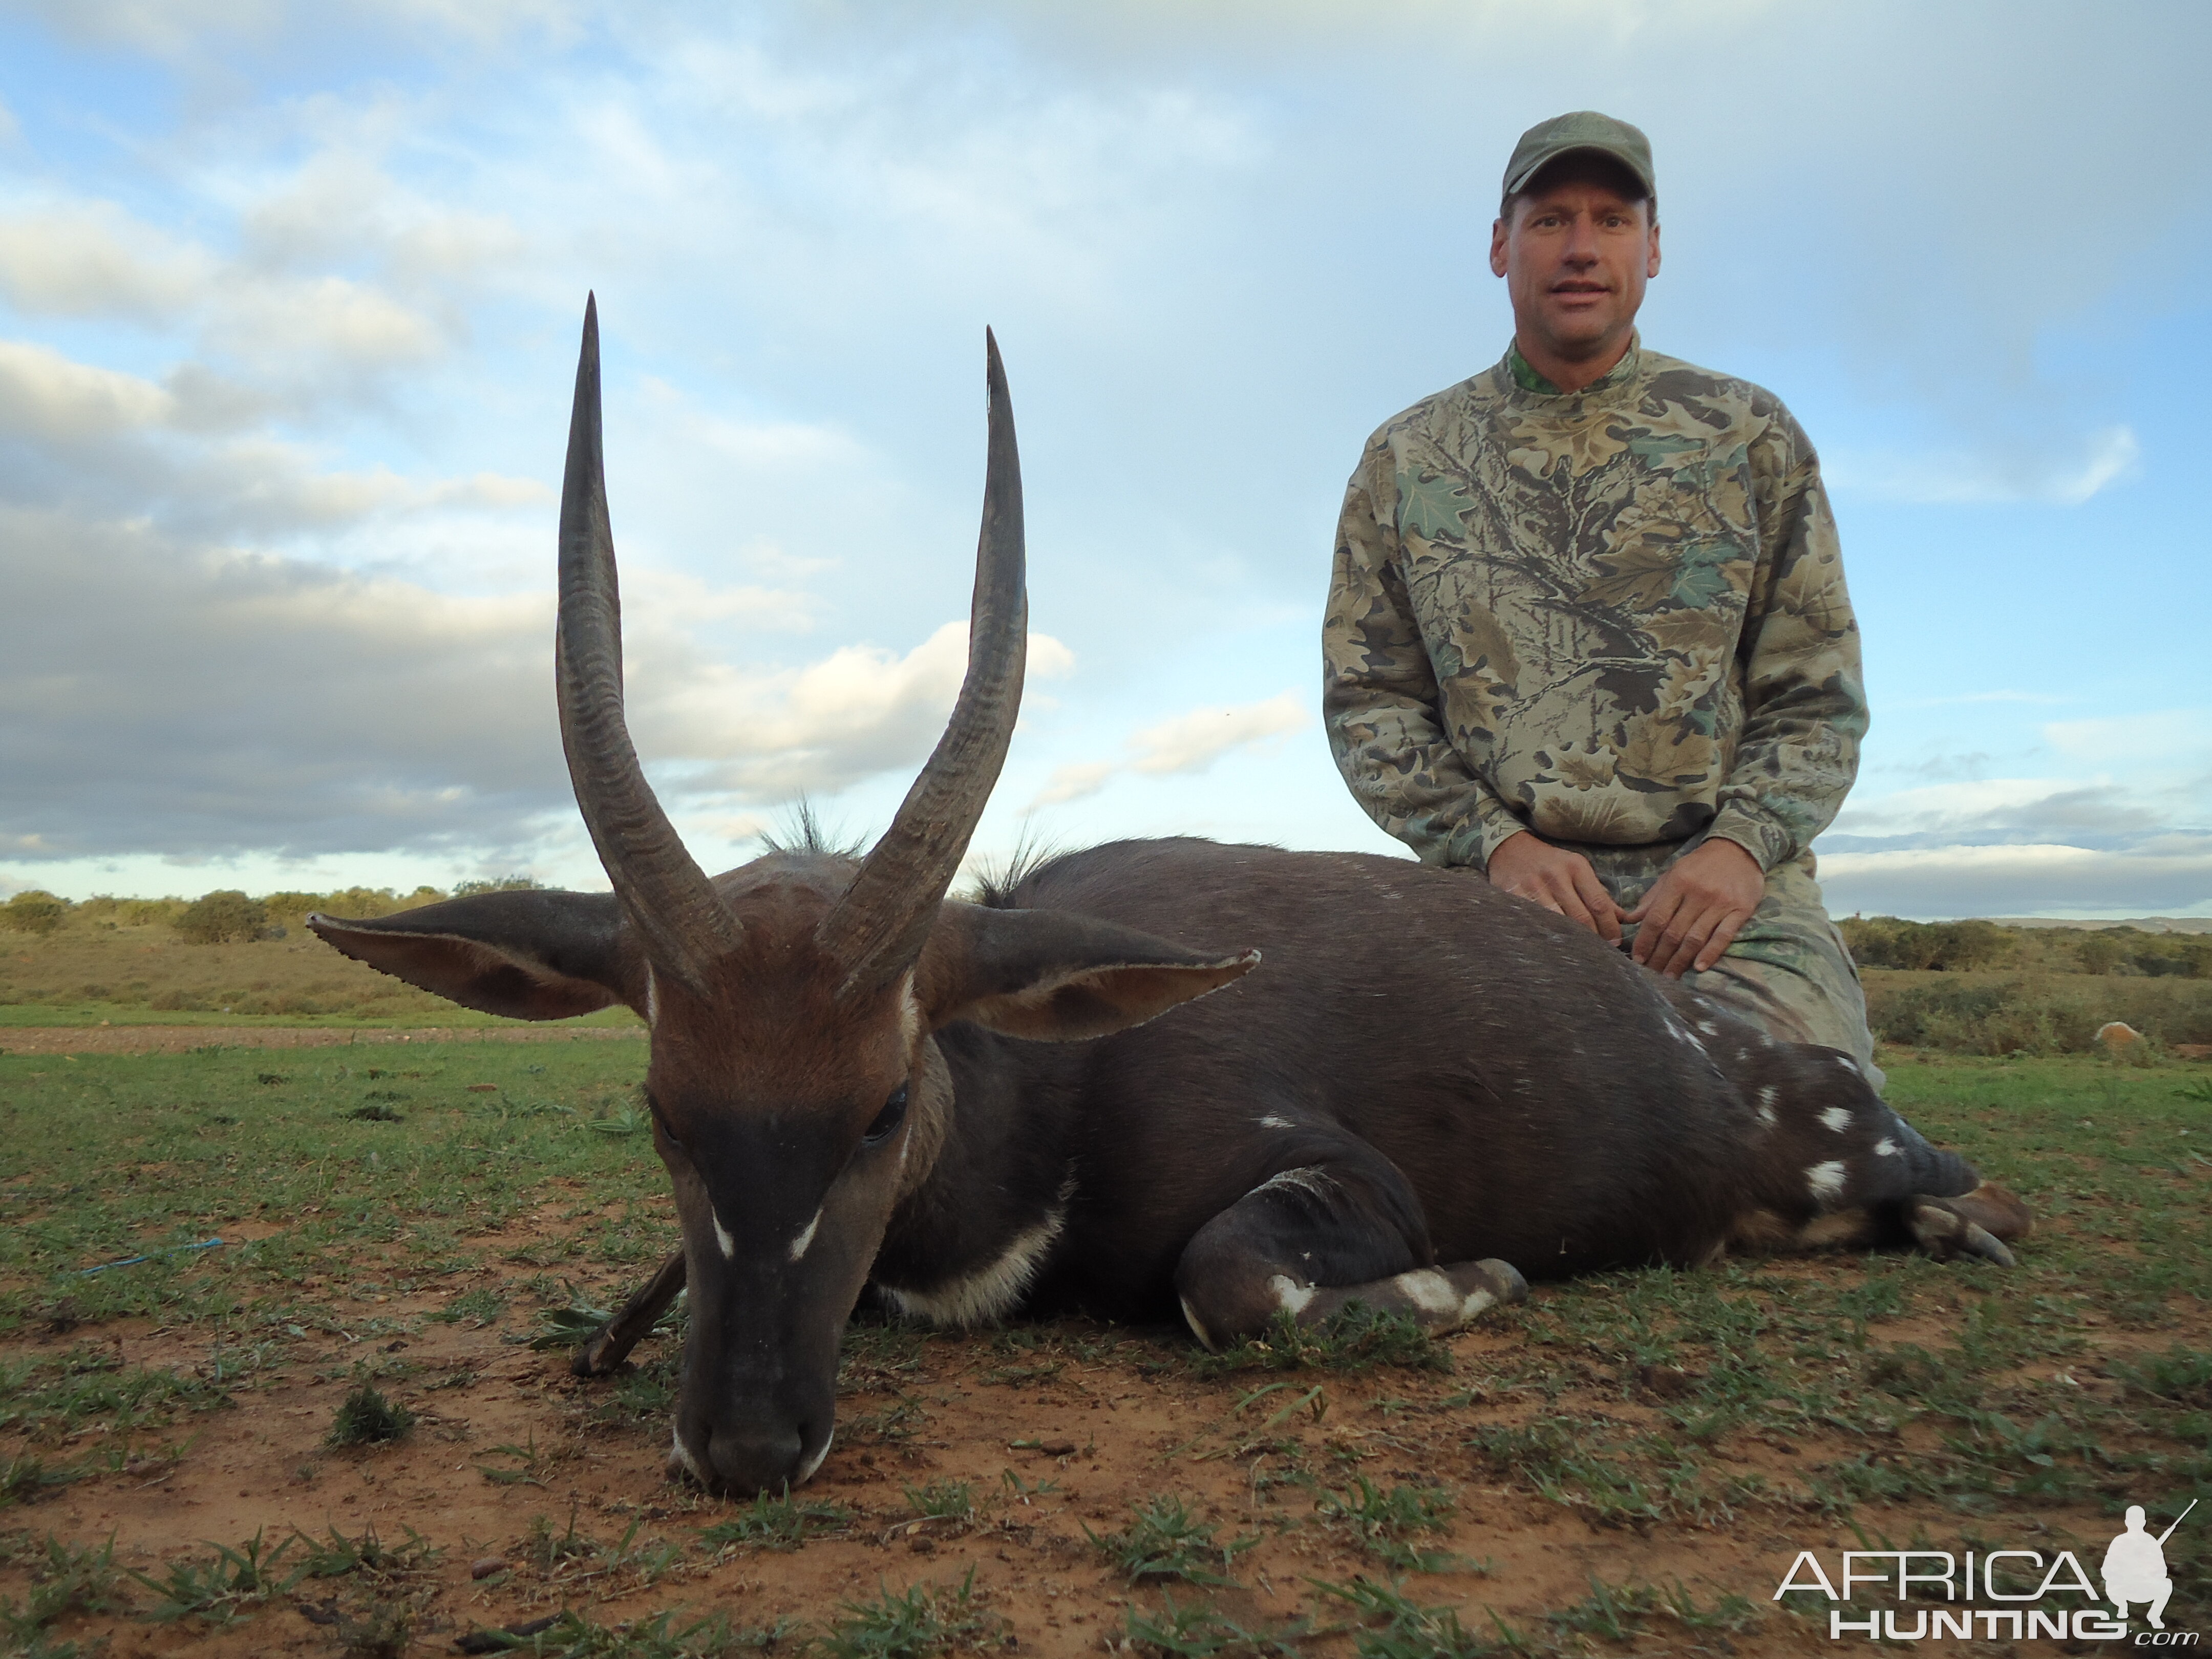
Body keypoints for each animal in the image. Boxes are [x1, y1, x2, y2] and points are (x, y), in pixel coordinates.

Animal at [307, 303, 2026, 1504]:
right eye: (664, 1111)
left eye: (880, 1108)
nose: (742, 1447)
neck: (1047, 1108)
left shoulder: (1338, 1178)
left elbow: (1234, 1283)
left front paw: (1489, 1279)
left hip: (1849, 1156)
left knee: (1960, 1188)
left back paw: (1964, 1223)